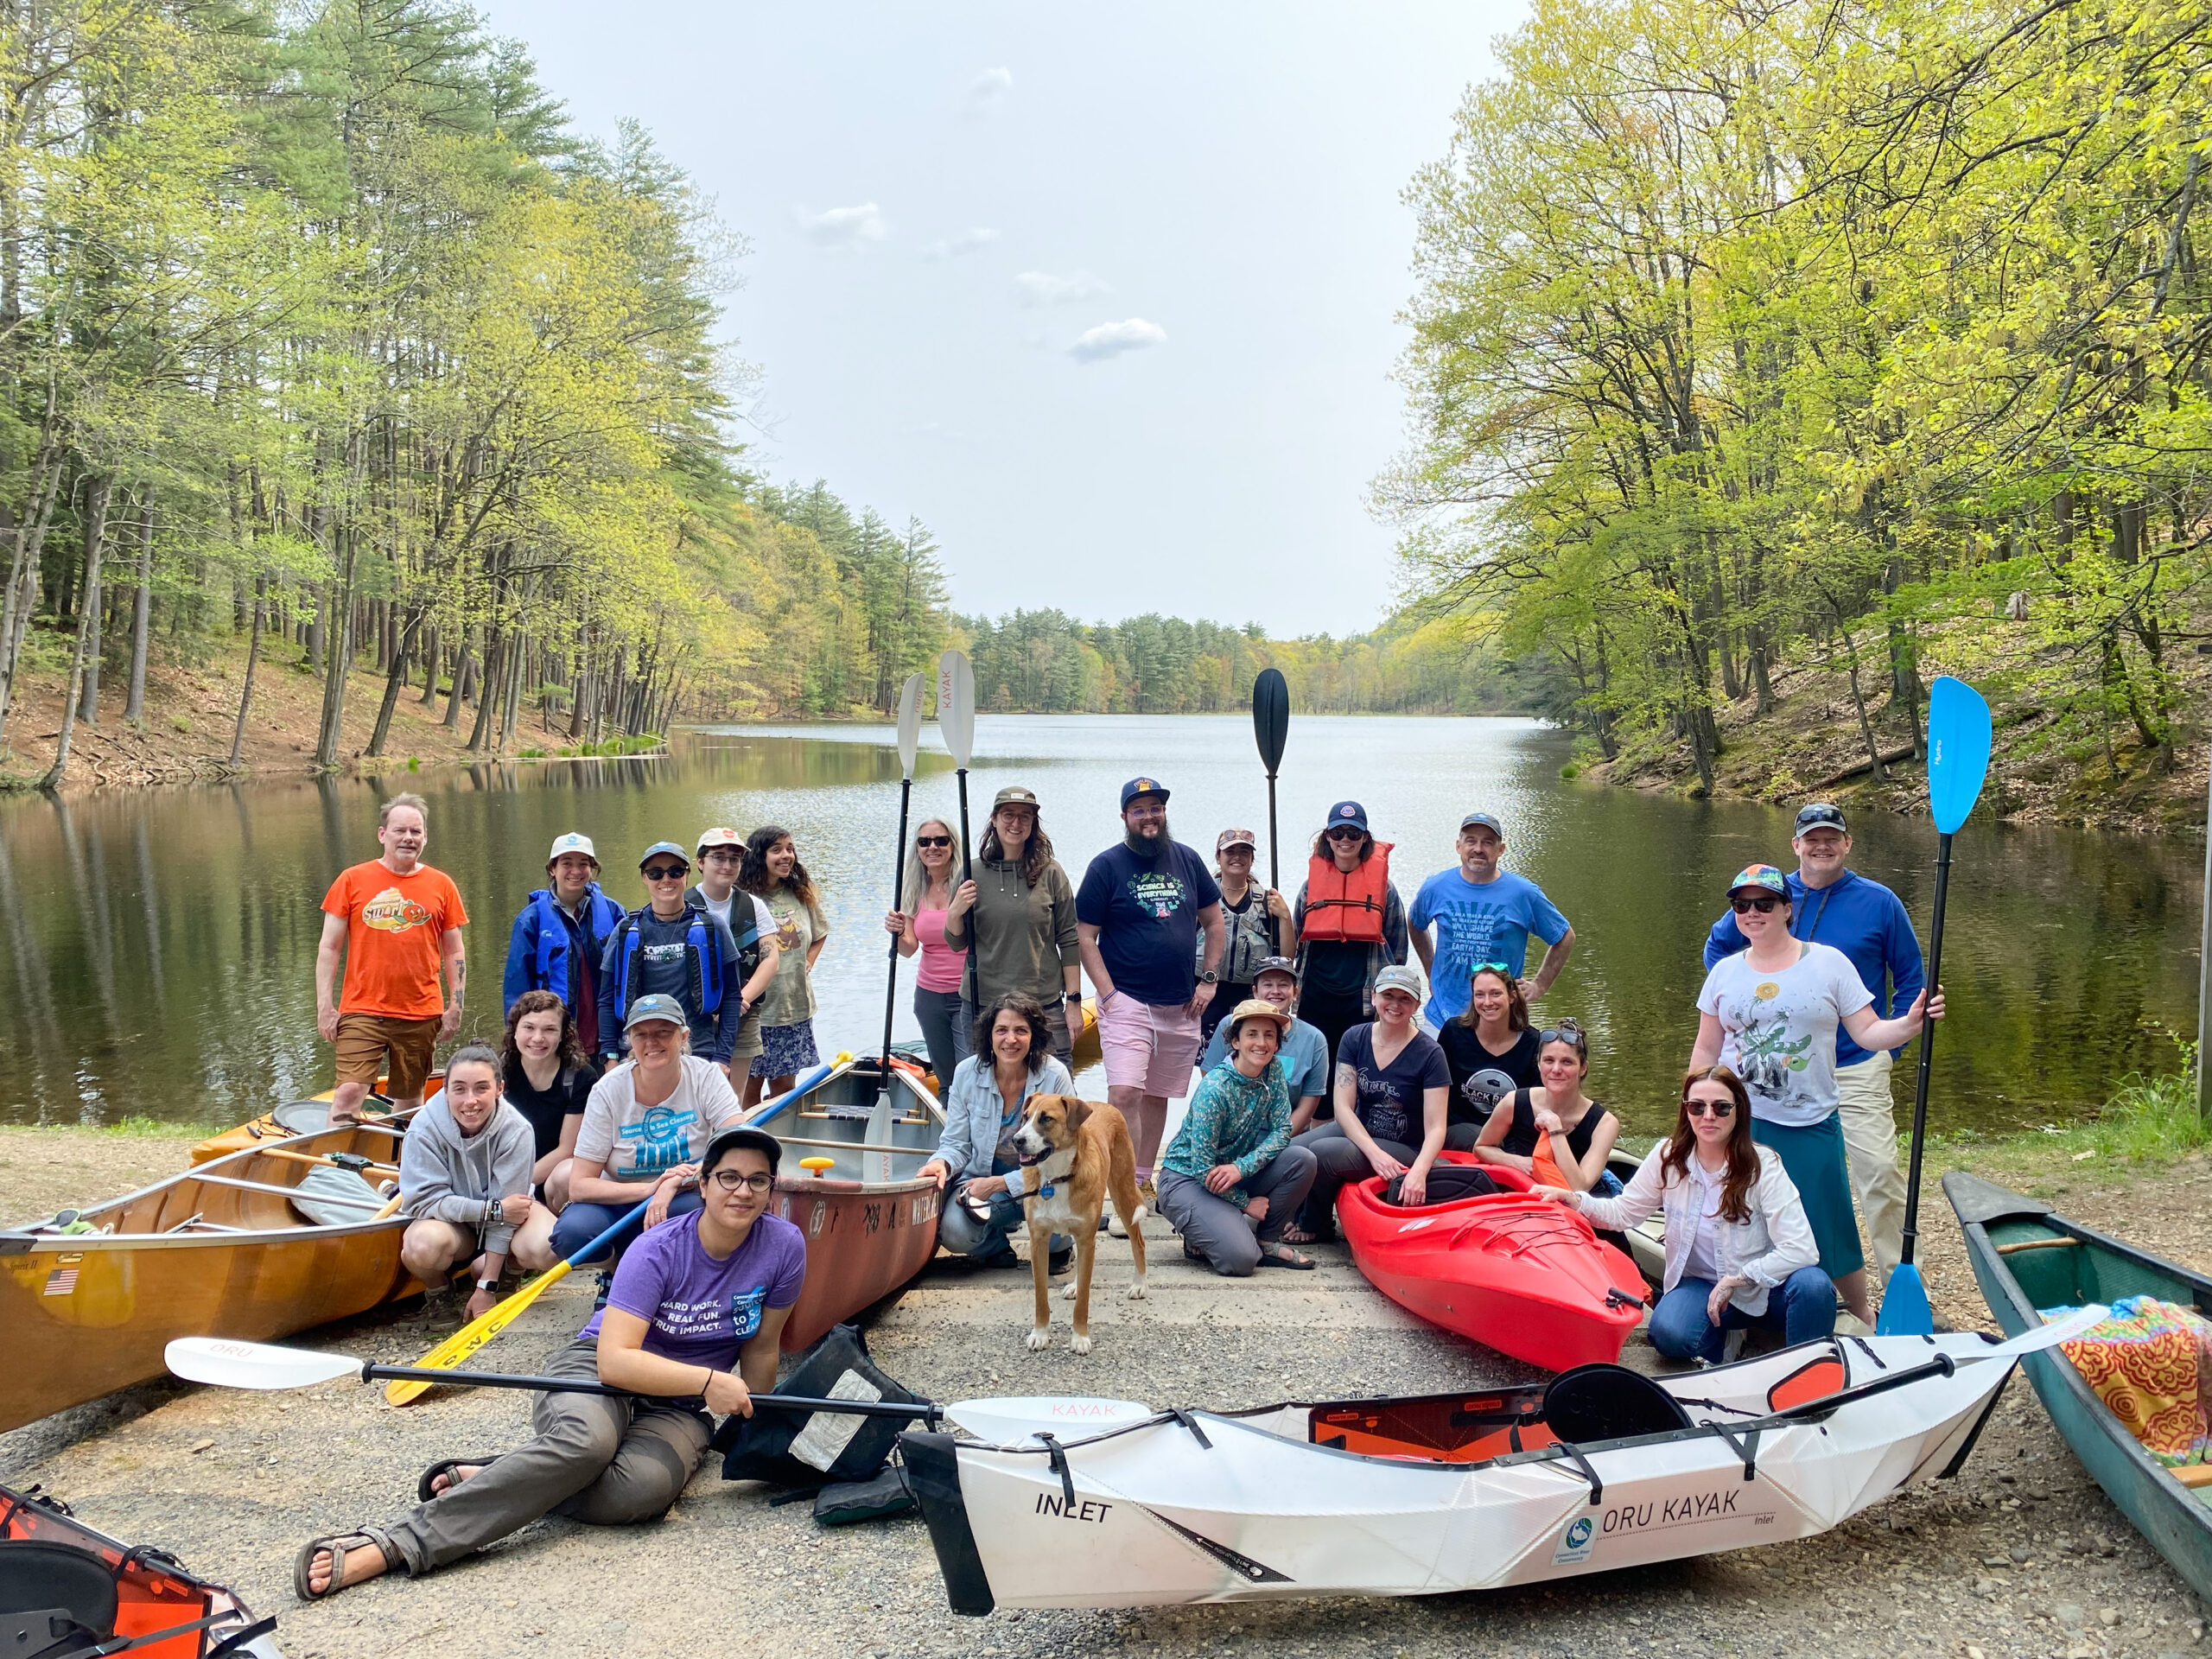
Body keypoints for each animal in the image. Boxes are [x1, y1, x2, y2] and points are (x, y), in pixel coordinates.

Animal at [1013, 1096, 1150, 1353]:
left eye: (1046, 1118)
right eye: (1025, 1117)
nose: (1017, 1140)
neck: (1057, 1178)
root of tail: (1104, 1104)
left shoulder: (1087, 1240)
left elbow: (1085, 1299)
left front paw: (1080, 1337)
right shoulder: (1039, 1240)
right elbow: (1040, 1296)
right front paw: (1040, 1333)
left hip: (1123, 1194)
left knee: (1138, 1242)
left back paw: (1139, 1285)